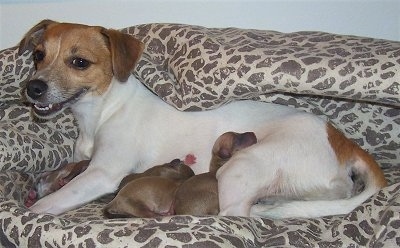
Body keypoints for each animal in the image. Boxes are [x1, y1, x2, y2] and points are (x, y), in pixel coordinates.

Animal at [17, 20, 386, 219]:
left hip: (241, 167)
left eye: (79, 62)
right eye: (38, 56)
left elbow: (46, 205)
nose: (33, 88)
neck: (103, 110)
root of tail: (341, 140)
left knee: (237, 215)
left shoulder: (102, 174)